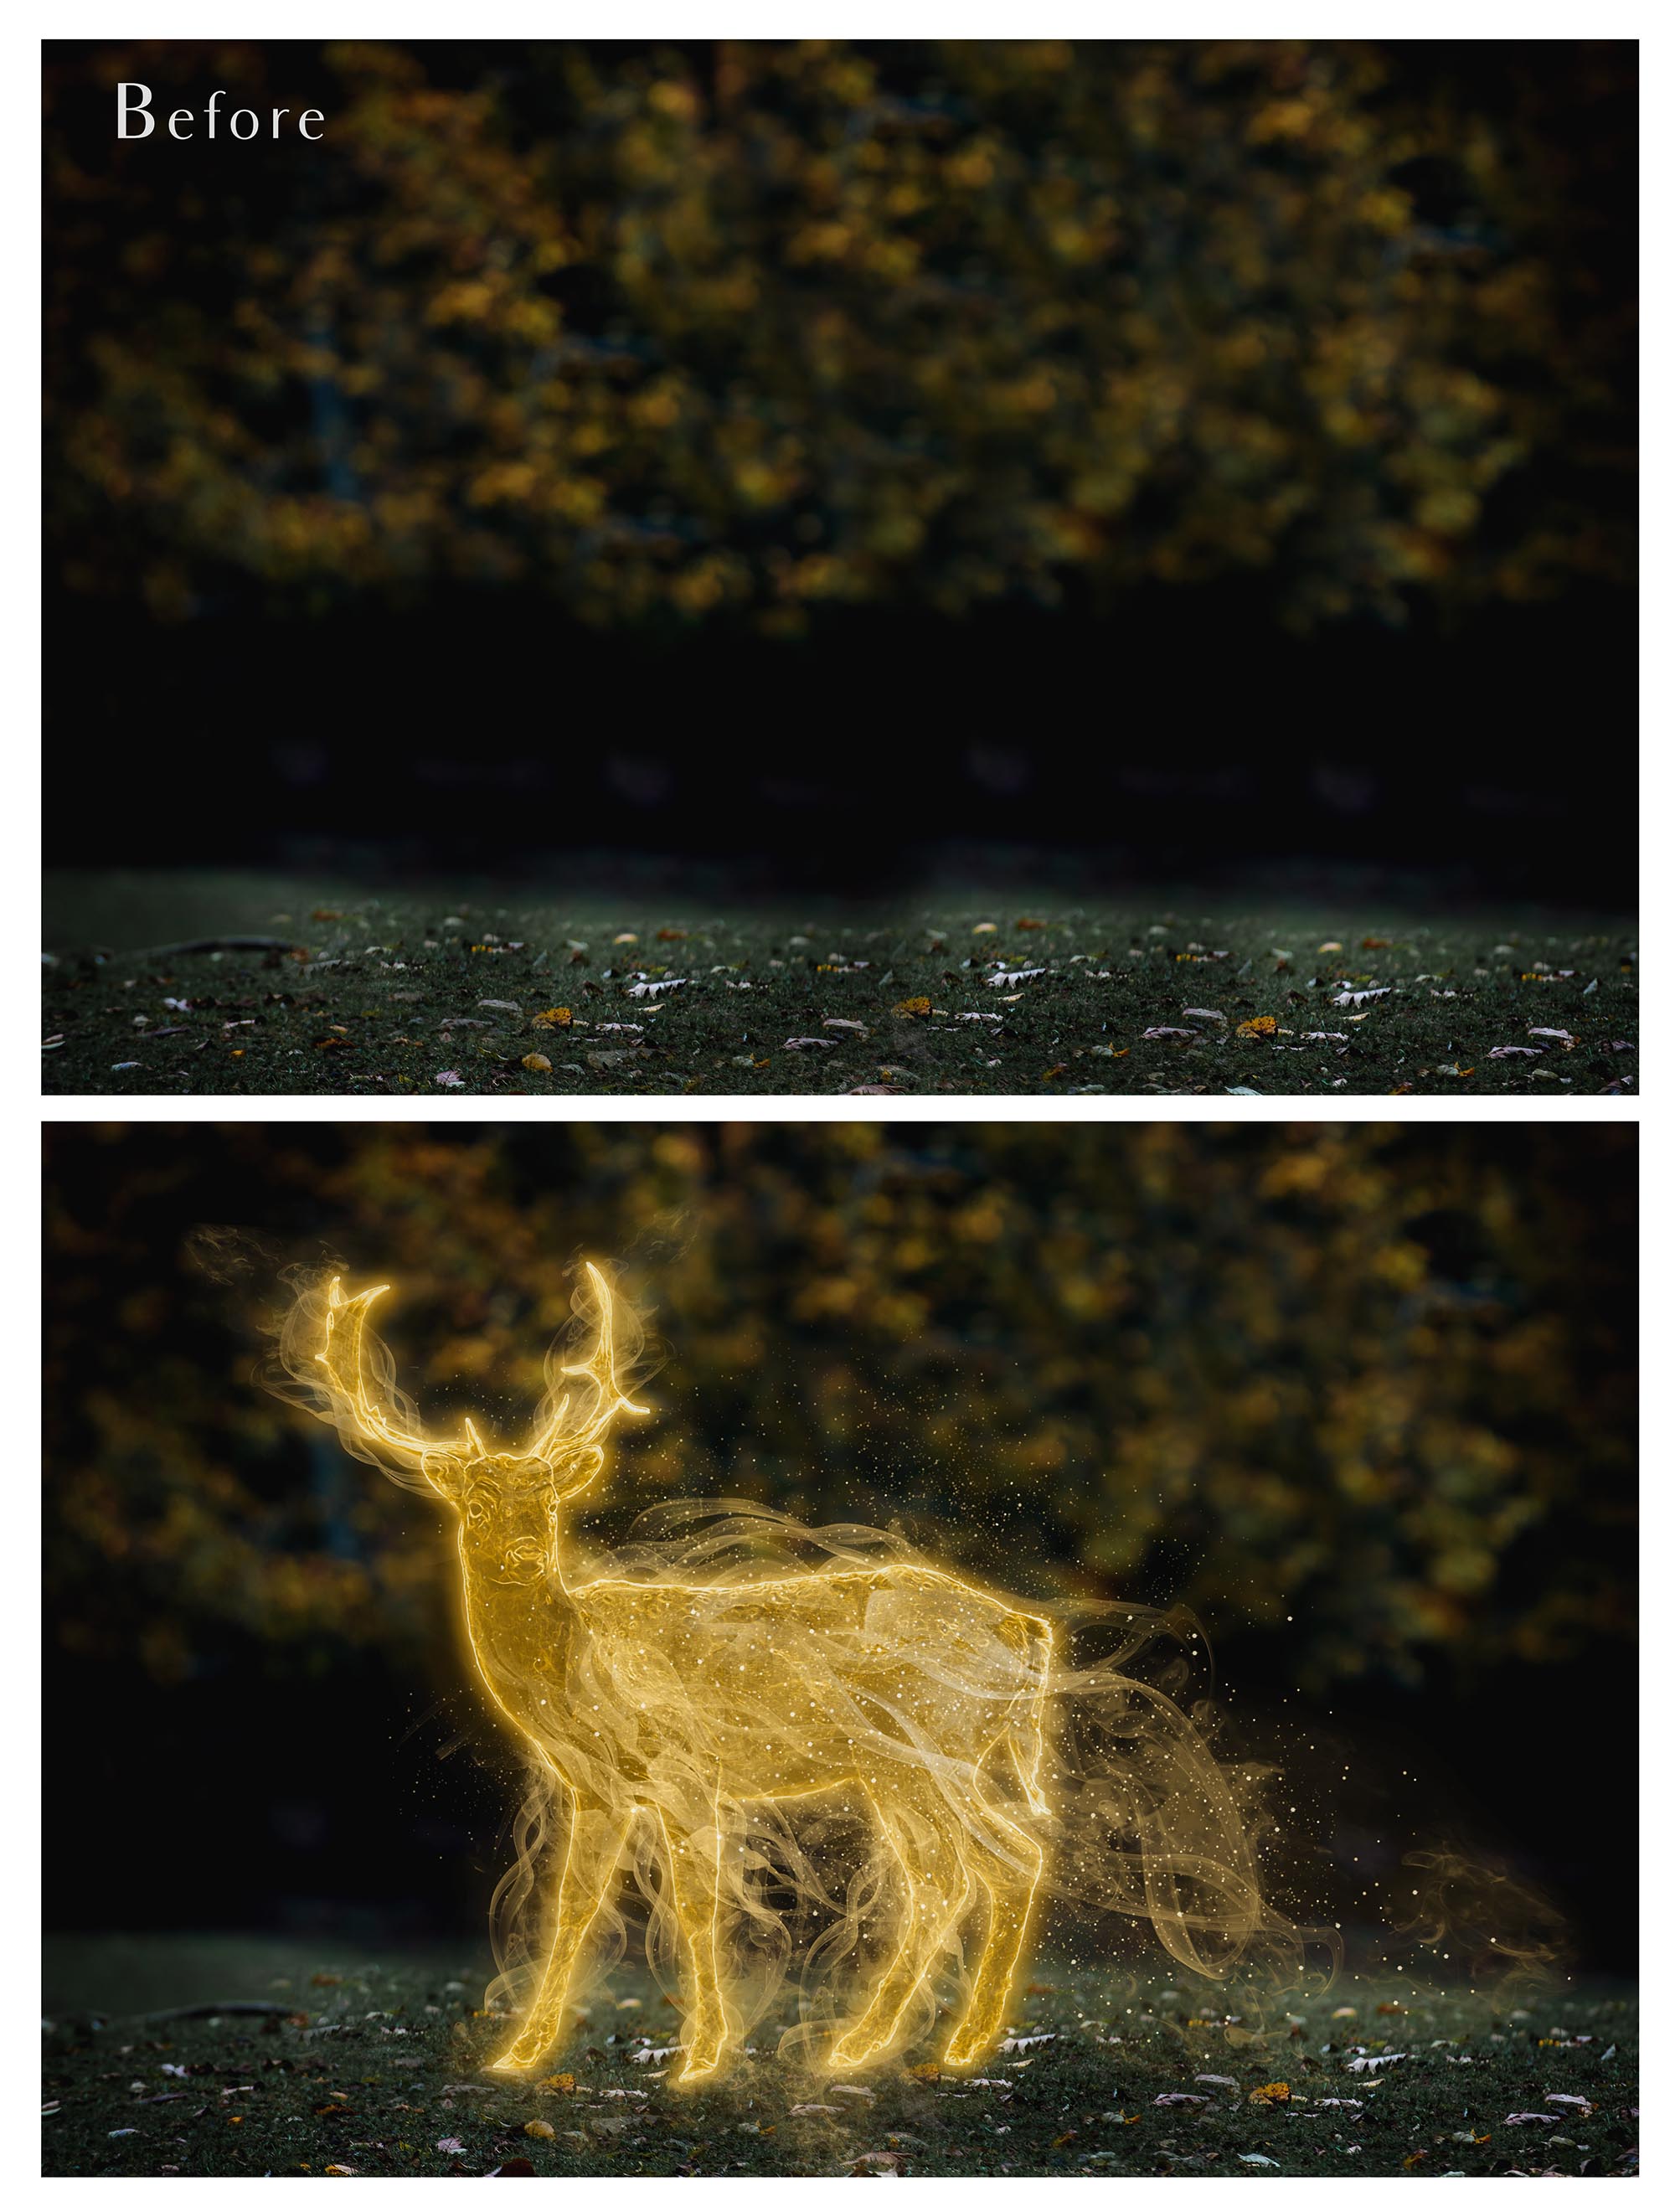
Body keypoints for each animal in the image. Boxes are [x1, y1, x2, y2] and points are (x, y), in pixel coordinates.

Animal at [306, 1265, 1055, 2084]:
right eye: (476, 1499)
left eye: (549, 1498)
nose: (524, 1554)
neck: (582, 1665)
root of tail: (1025, 1627)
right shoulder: (598, 1786)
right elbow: (572, 1908)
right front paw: (522, 2053)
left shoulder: (685, 1764)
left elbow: (699, 1910)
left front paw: (699, 2058)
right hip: (907, 1766)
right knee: (962, 1874)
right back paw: (899, 2044)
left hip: (928, 1745)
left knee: (990, 1865)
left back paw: (919, 2045)